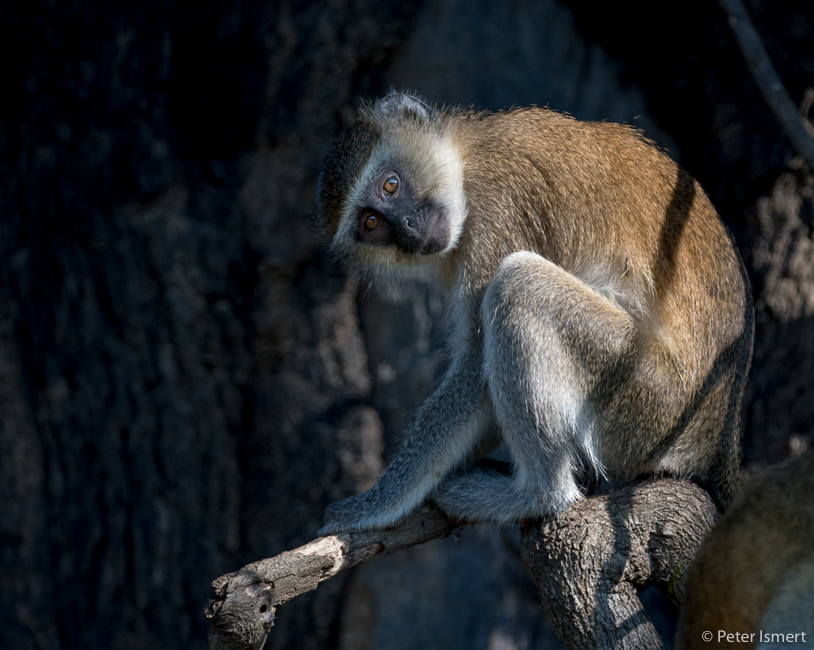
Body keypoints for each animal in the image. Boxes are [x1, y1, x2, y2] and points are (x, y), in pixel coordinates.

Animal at [316, 92, 753, 535]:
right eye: (372, 224)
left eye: (391, 185)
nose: (406, 227)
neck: (467, 160)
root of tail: (718, 442)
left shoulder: (501, 207)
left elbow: (475, 371)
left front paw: (371, 506)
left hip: (651, 401)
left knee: (517, 285)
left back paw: (537, 495)